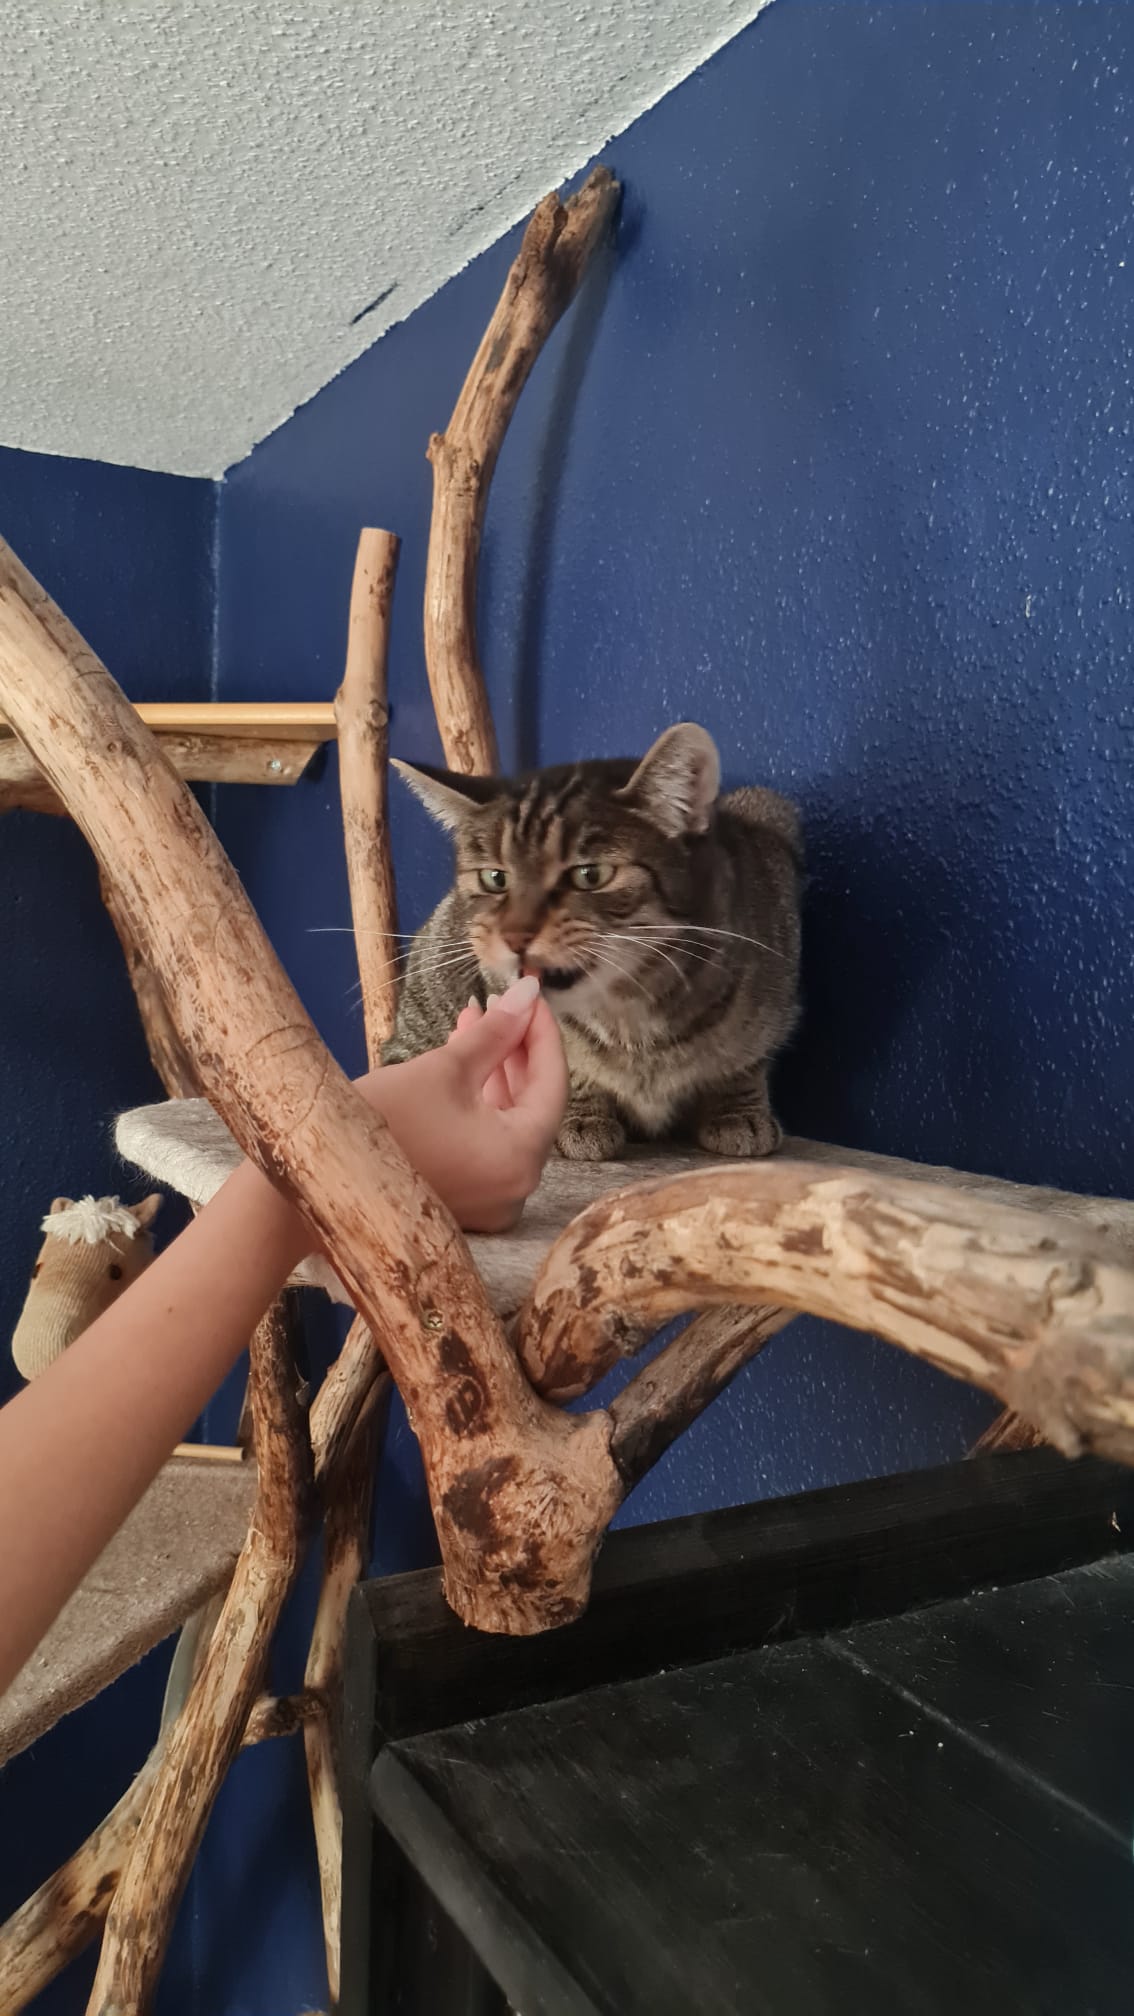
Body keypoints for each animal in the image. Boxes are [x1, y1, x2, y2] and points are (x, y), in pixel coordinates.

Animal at [382, 723, 803, 1161]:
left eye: (590, 875)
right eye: (494, 878)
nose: (514, 937)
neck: (628, 1012)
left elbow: (748, 1059)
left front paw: (738, 1110)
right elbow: (570, 1063)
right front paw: (580, 1114)